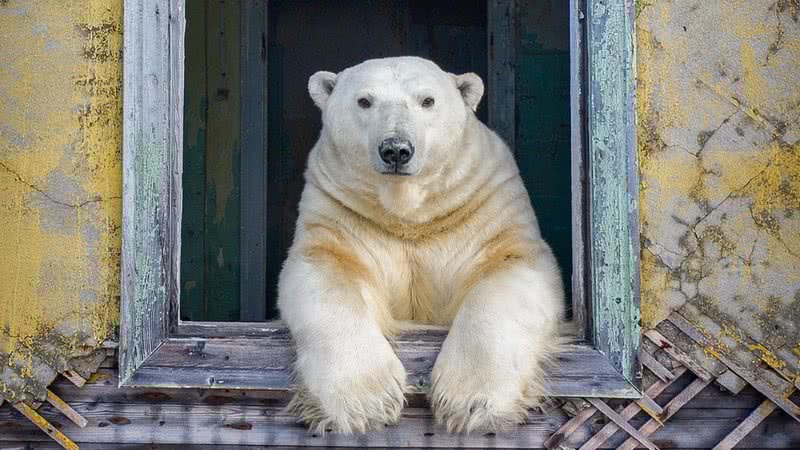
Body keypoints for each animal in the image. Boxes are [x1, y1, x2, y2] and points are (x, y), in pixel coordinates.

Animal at [278, 56, 564, 432]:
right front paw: (366, 402)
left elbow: (511, 268)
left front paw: (470, 402)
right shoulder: (340, 212)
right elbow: (325, 271)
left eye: (427, 100)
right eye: (364, 101)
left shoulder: (485, 206)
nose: (396, 150)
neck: (410, 216)